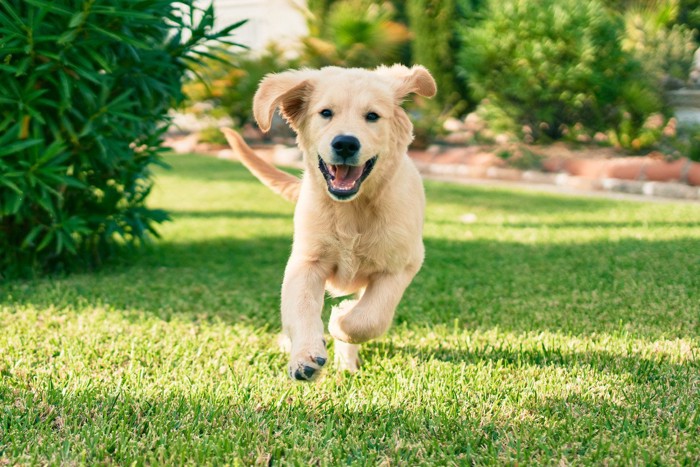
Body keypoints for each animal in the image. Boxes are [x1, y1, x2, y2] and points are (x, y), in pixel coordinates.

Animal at [221, 65, 434, 380]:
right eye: (325, 113)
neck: (351, 210)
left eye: (372, 116)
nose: (345, 143)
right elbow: (300, 307)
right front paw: (305, 357)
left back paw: (347, 361)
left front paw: (341, 318)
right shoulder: (307, 261)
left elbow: (370, 318)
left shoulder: (401, 264)